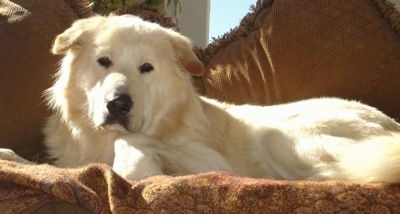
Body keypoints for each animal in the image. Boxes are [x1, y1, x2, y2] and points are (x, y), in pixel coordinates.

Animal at [3, 15, 400, 182]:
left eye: (146, 68)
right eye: (104, 62)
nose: (117, 104)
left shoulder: (209, 160)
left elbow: (129, 144)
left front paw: (138, 172)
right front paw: (11, 156)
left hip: (280, 137)